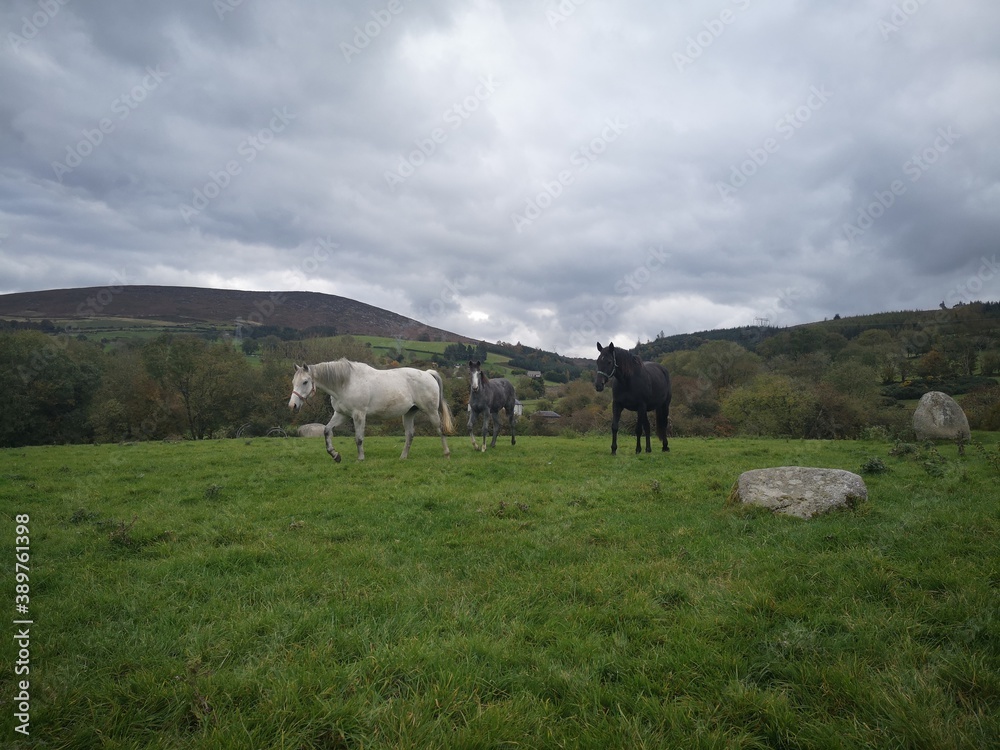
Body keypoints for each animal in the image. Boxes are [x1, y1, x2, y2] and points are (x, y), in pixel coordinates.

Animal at [288, 359, 453, 462]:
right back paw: (403, 457)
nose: (292, 405)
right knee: (410, 435)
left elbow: (359, 438)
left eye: (305, 382)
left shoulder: (358, 414)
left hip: (431, 412)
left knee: (440, 430)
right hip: (409, 413)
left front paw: (360, 458)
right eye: (293, 382)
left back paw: (446, 454)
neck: (346, 383)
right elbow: (327, 431)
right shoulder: (341, 415)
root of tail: (427, 373)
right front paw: (335, 455)